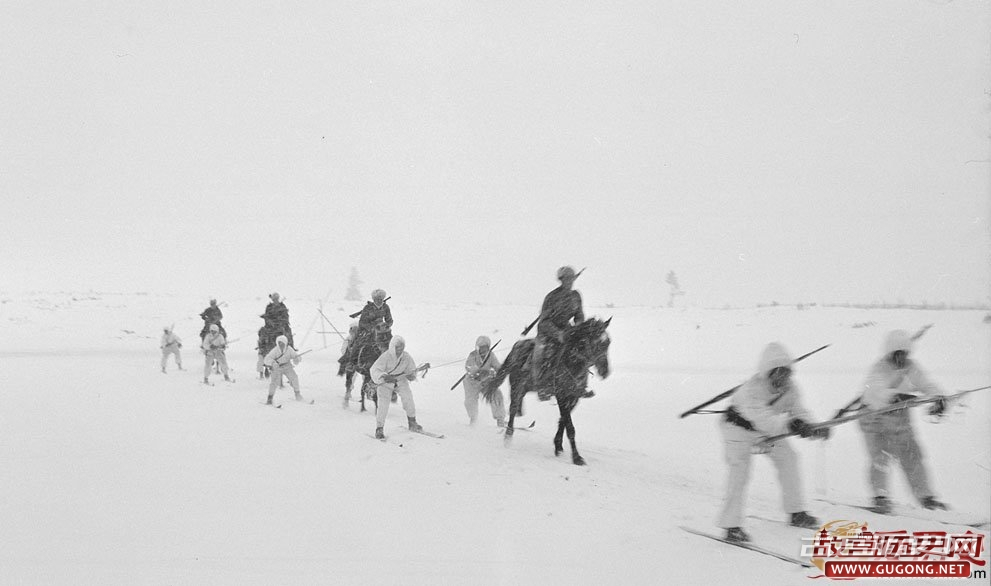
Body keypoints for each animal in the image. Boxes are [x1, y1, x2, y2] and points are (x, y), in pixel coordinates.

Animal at [482, 318, 612, 464]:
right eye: (596, 343)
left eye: (608, 342)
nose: (605, 371)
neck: (572, 362)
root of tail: (516, 347)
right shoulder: (561, 396)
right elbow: (570, 427)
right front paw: (576, 457)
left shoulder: (573, 398)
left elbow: (563, 421)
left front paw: (558, 446)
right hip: (516, 387)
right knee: (513, 409)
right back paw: (508, 436)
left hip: (526, 388)